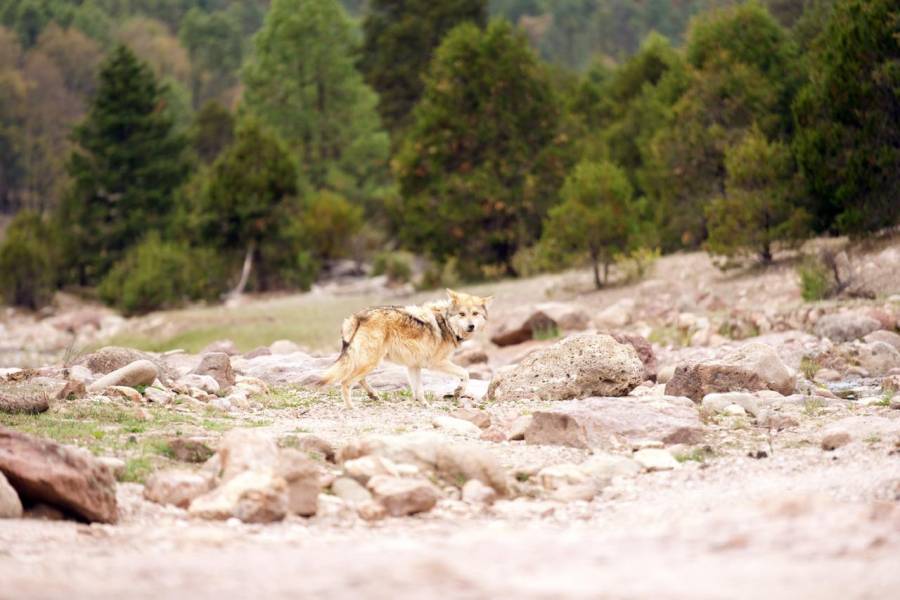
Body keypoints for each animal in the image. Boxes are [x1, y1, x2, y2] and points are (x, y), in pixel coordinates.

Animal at [317, 289, 493, 408]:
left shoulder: (413, 365)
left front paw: (424, 405)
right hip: (372, 361)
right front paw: (458, 392)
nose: (471, 326)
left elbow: (418, 390)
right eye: (462, 314)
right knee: (345, 382)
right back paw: (351, 407)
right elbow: (466, 373)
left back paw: (373, 396)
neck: (446, 323)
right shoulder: (436, 363)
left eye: (475, 314)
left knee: (358, 379)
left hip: (369, 361)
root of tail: (358, 316)